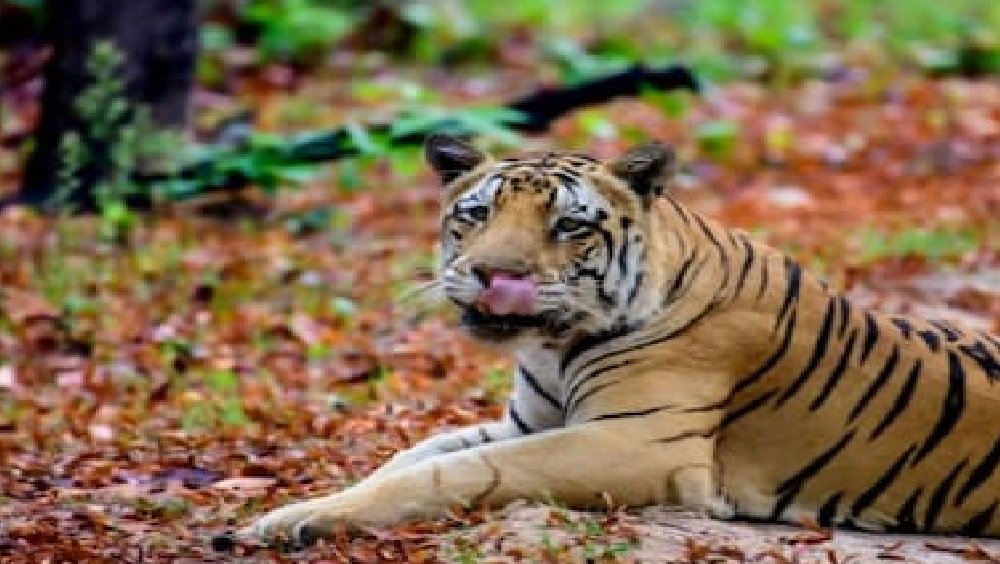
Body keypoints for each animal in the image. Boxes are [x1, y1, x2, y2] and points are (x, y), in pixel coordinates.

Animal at [244, 134, 1000, 547]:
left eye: (569, 225)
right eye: (477, 214)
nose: (493, 273)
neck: (553, 345)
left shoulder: (635, 442)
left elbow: (453, 471)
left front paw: (303, 521)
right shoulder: (528, 422)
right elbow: (408, 456)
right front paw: (284, 515)